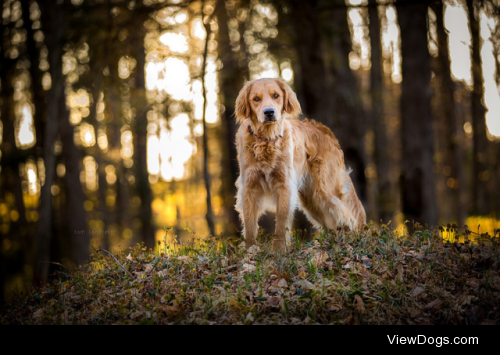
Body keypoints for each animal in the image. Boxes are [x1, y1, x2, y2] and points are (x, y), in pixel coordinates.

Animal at [234, 78, 368, 252]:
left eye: (276, 95)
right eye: (256, 99)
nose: (269, 112)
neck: (267, 140)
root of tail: (325, 131)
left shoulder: (284, 185)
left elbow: (281, 223)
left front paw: (279, 250)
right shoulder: (249, 187)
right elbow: (250, 224)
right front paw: (250, 250)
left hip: (324, 190)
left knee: (348, 216)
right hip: (312, 199)